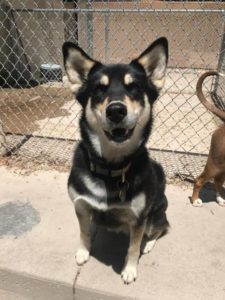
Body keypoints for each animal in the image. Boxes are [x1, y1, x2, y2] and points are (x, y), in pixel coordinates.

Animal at [62, 37, 170, 284]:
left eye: (134, 87)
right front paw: (83, 251)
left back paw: (149, 244)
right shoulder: (81, 205)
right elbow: (84, 231)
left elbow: (133, 247)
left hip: (154, 215)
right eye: (98, 89)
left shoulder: (139, 218)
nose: (116, 110)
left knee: (161, 228)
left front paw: (129, 269)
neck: (110, 167)